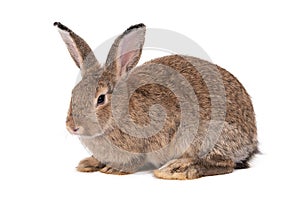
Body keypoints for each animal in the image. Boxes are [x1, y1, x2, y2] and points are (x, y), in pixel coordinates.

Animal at [54, 21, 258, 180]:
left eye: (101, 99)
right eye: (73, 92)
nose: (73, 127)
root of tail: (251, 140)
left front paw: (114, 169)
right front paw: (89, 163)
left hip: (207, 135)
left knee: (225, 163)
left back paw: (177, 169)